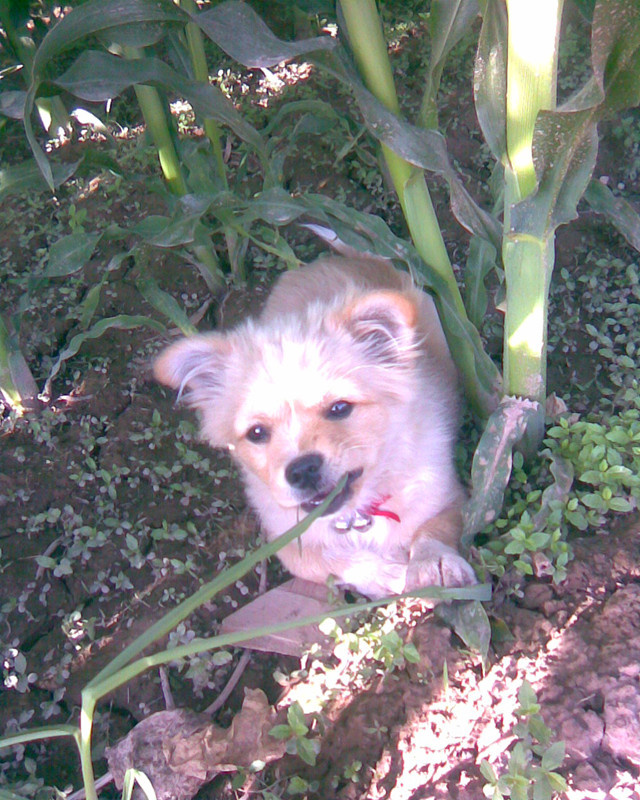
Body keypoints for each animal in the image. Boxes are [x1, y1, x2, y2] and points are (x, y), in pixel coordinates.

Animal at [154, 255, 476, 599]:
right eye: (257, 433)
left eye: (339, 408)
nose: (302, 469)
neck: (355, 516)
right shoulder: (286, 541)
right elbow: (328, 560)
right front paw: (384, 573)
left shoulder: (449, 495)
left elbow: (433, 529)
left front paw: (433, 563)